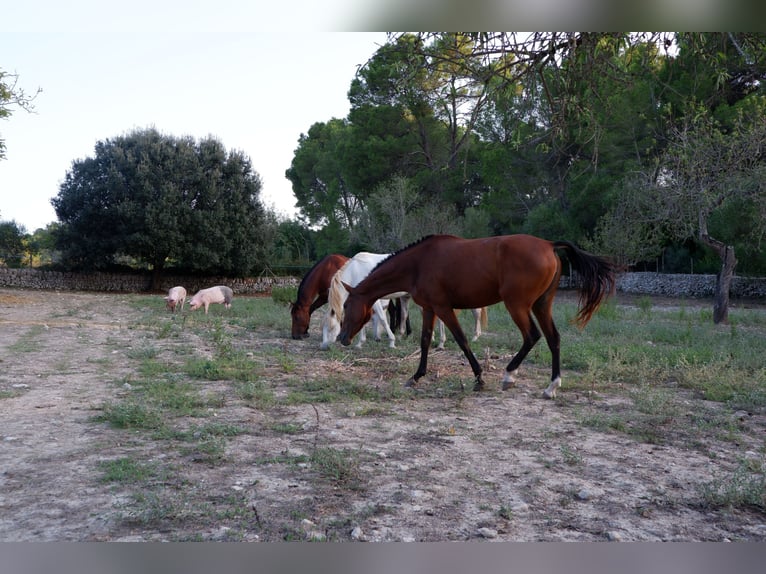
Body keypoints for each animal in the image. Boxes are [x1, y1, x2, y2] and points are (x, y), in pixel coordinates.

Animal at [338, 234, 616, 399]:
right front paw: (416, 377)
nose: (342, 338)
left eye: (347, 305)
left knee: (531, 336)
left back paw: (509, 375)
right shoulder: (429, 309)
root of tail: (549, 245)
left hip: (517, 305)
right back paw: (551, 386)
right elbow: (425, 341)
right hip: (541, 305)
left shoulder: (443, 308)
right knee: (553, 338)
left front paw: (479, 378)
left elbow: (461, 340)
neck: (419, 263)